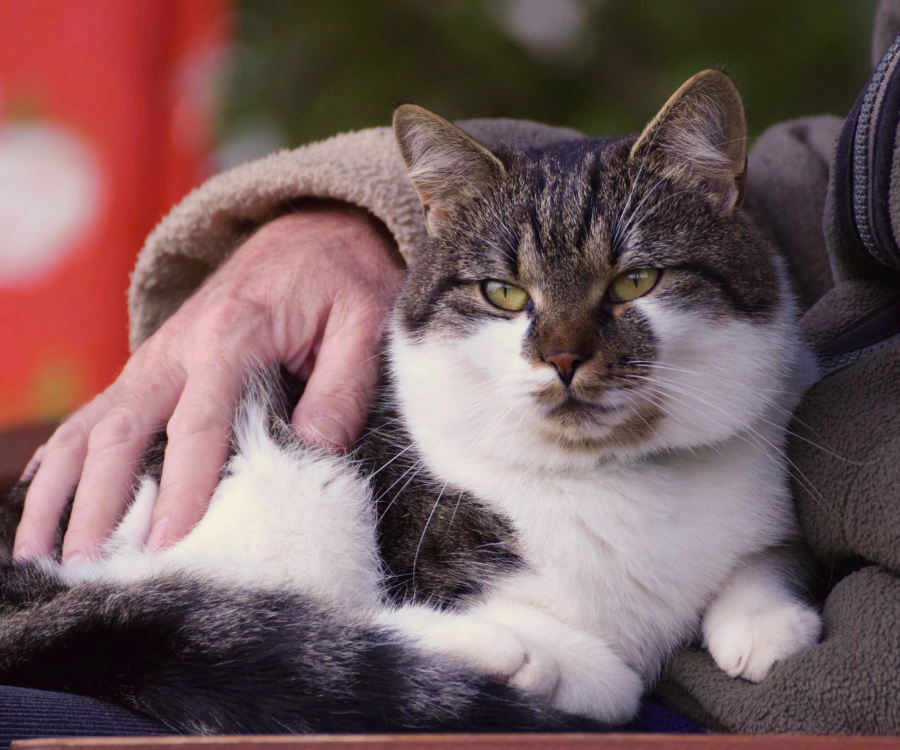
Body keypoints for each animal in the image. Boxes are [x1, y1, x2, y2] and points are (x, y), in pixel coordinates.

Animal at [0, 70, 820, 736]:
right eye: (504, 293)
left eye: (635, 281)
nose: (562, 357)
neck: (614, 479)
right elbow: (589, 666)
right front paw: (566, 663)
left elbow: (767, 552)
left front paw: (763, 622)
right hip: (287, 477)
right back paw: (502, 655)